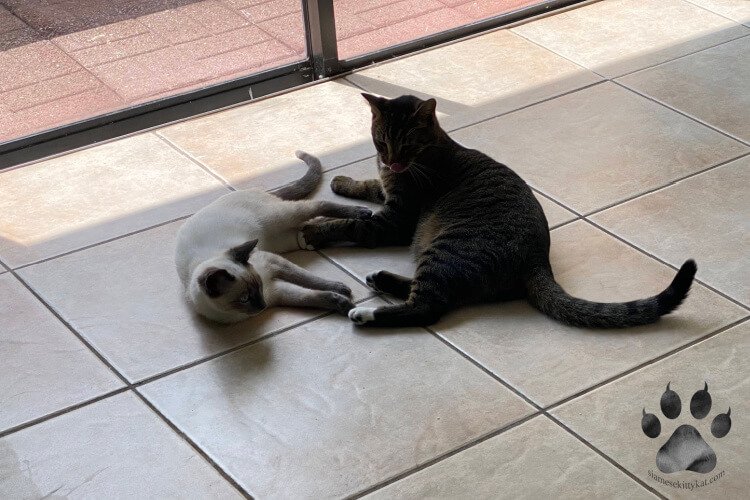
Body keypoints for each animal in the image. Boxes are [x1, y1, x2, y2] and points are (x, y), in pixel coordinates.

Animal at [174, 150, 374, 322]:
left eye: (258, 287)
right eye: (245, 298)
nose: (262, 306)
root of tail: (262, 192)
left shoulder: (273, 264)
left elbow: (309, 279)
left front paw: (342, 289)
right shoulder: (277, 291)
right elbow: (314, 296)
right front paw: (345, 305)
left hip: (282, 217)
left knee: (319, 205)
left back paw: (363, 213)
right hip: (287, 238)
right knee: (312, 224)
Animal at [296, 94, 696, 328]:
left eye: (407, 143)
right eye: (381, 141)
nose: (391, 161)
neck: (428, 153)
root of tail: (539, 260)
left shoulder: (396, 220)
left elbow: (348, 224)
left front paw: (313, 230)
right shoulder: (387, 189)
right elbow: (368, 187)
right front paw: (343, 181)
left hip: (449, 247)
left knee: (427, 307)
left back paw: (366, 311)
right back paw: (379, 279)